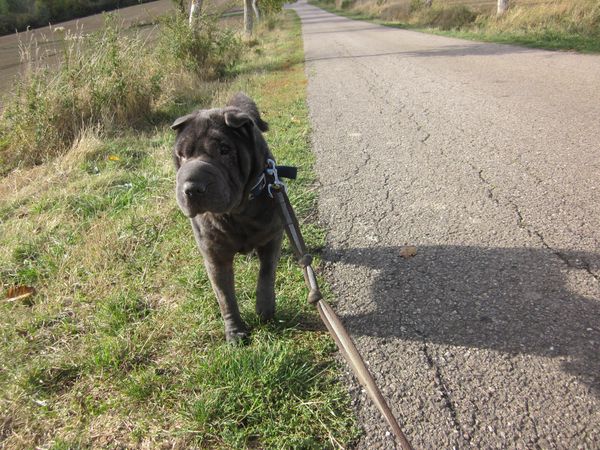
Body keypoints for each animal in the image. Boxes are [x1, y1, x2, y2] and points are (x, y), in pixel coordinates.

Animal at [169, 93, 282, 342]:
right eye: (182, 155)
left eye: (224, 149)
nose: (192, 187)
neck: (237, 213)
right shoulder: (215, 255)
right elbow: (225, 296)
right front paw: (235, 332)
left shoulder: (272, 237)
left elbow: (266, 273)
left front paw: (265, 310)